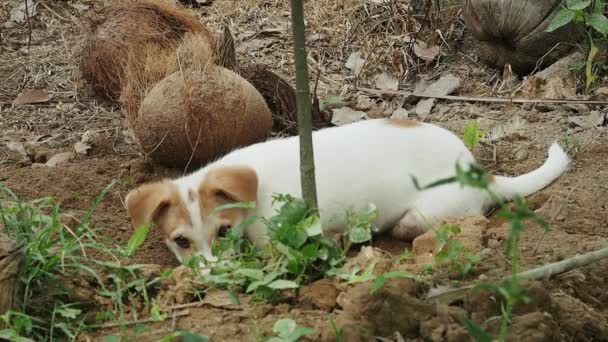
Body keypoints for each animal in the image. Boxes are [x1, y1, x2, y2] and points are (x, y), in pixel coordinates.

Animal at [126, 119, 572, 264]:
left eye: (223, 232)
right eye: (181, 241)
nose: (215, 278)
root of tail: (483, 173)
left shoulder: (275, 241)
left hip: (427, 213)